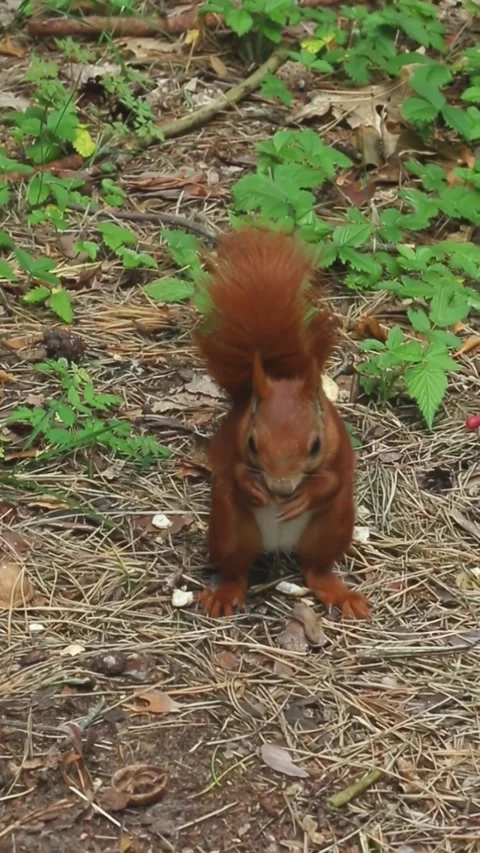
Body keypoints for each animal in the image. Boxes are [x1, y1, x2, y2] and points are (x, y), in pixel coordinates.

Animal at [195, 226, 370, 620]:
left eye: (315, 445)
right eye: (252, 443)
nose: (281, 488)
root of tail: (278, 546)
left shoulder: (340, 451)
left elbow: (333, 482)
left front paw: (305, 495)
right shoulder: (229, 444)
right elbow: (232, 472)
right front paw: (254, 487)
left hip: (331, 528)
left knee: (316, 569)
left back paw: (339, 593)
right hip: (230, 529)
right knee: (236, 568)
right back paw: (225, 592)